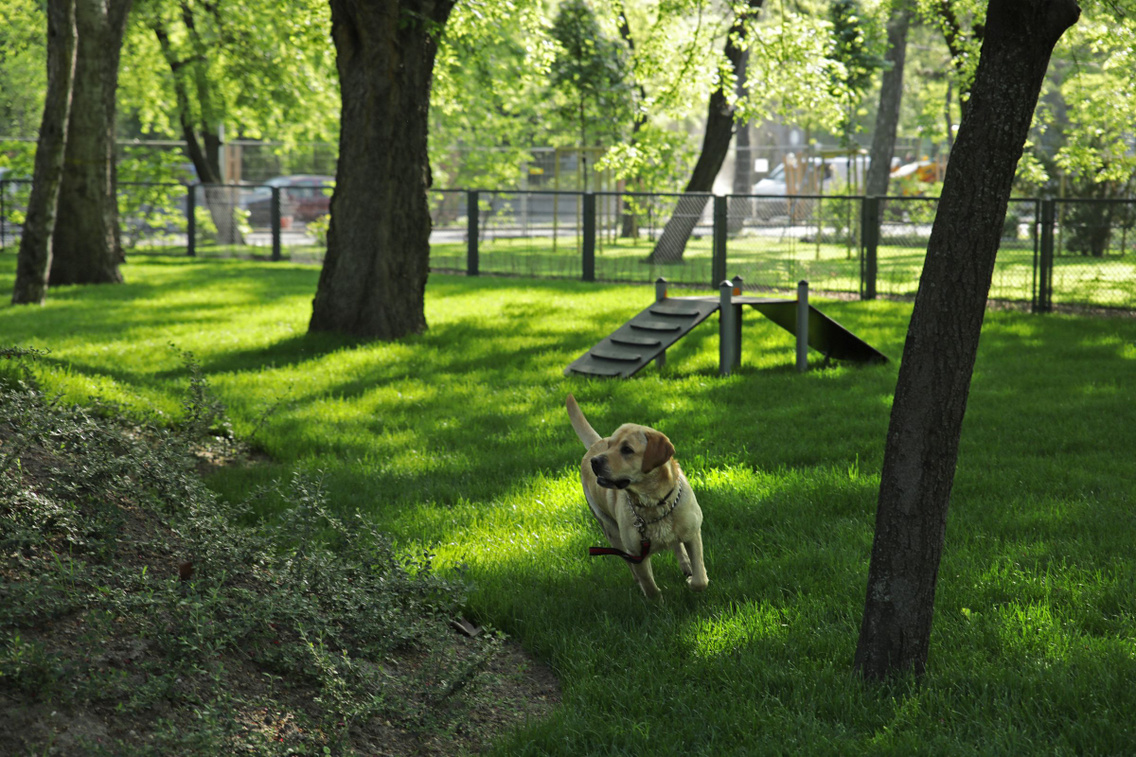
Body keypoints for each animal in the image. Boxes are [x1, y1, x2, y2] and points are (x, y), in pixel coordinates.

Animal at [568, 391, 708, 600]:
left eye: (627, 449)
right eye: (610, 446)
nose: (595, 461)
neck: (654, 503)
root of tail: (594, 445)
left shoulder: (693, 533)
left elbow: (700, 578)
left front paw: (692, 579)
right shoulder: (635, 552)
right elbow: (649, 585)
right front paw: (657, 603)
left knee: (677, 545)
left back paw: (686, 565)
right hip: (611, 532)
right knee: (629, 563)